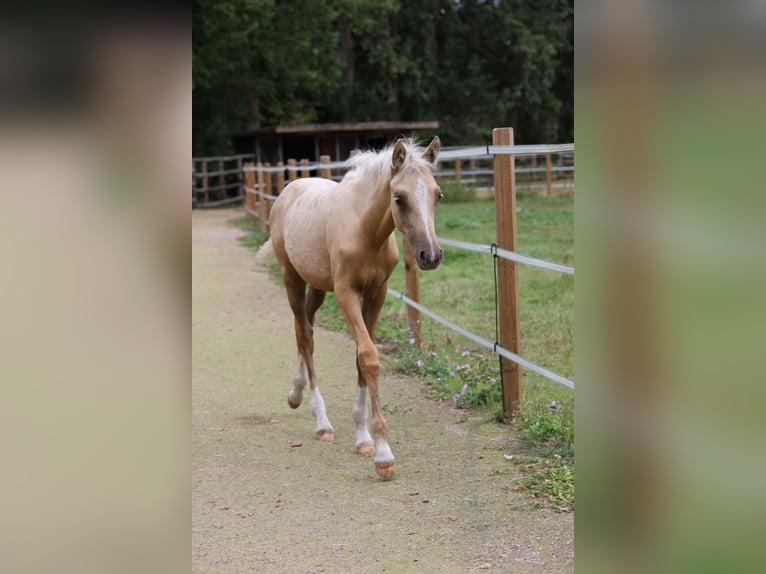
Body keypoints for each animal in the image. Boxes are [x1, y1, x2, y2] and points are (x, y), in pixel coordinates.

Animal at [264, 136, 443, 479]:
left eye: (437, 195)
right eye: (399, 198)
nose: (430, 256)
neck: (365, 232)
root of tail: (290, 190)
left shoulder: (376, 294)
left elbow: (362, 357)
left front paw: (363, 438)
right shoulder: (347, 294)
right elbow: (369, 357)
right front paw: (384, 455)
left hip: (318, 286)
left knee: (305, 328)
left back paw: (296, 393)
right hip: (292, 278)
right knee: (304, 335)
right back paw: (321, 422)